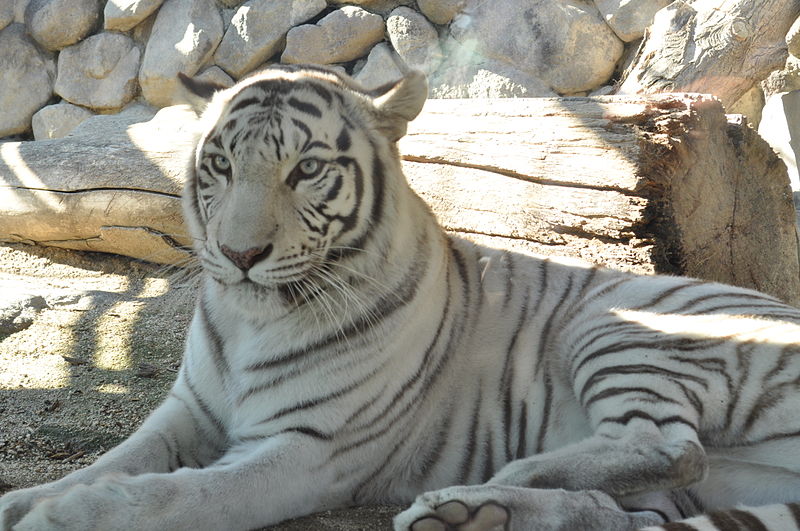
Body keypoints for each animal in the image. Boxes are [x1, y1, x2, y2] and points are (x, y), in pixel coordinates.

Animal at [1, 66, 800, 531]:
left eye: (307, 169)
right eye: (221, 164)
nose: (239, 256)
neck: (250, 317)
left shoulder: (306, 448)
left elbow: (180, 494)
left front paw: (65, 514)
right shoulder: (187, 412)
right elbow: (114, 459)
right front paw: (27, 498)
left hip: (616, 325)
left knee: (669, 445)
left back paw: (501, 480)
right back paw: (473, 512)